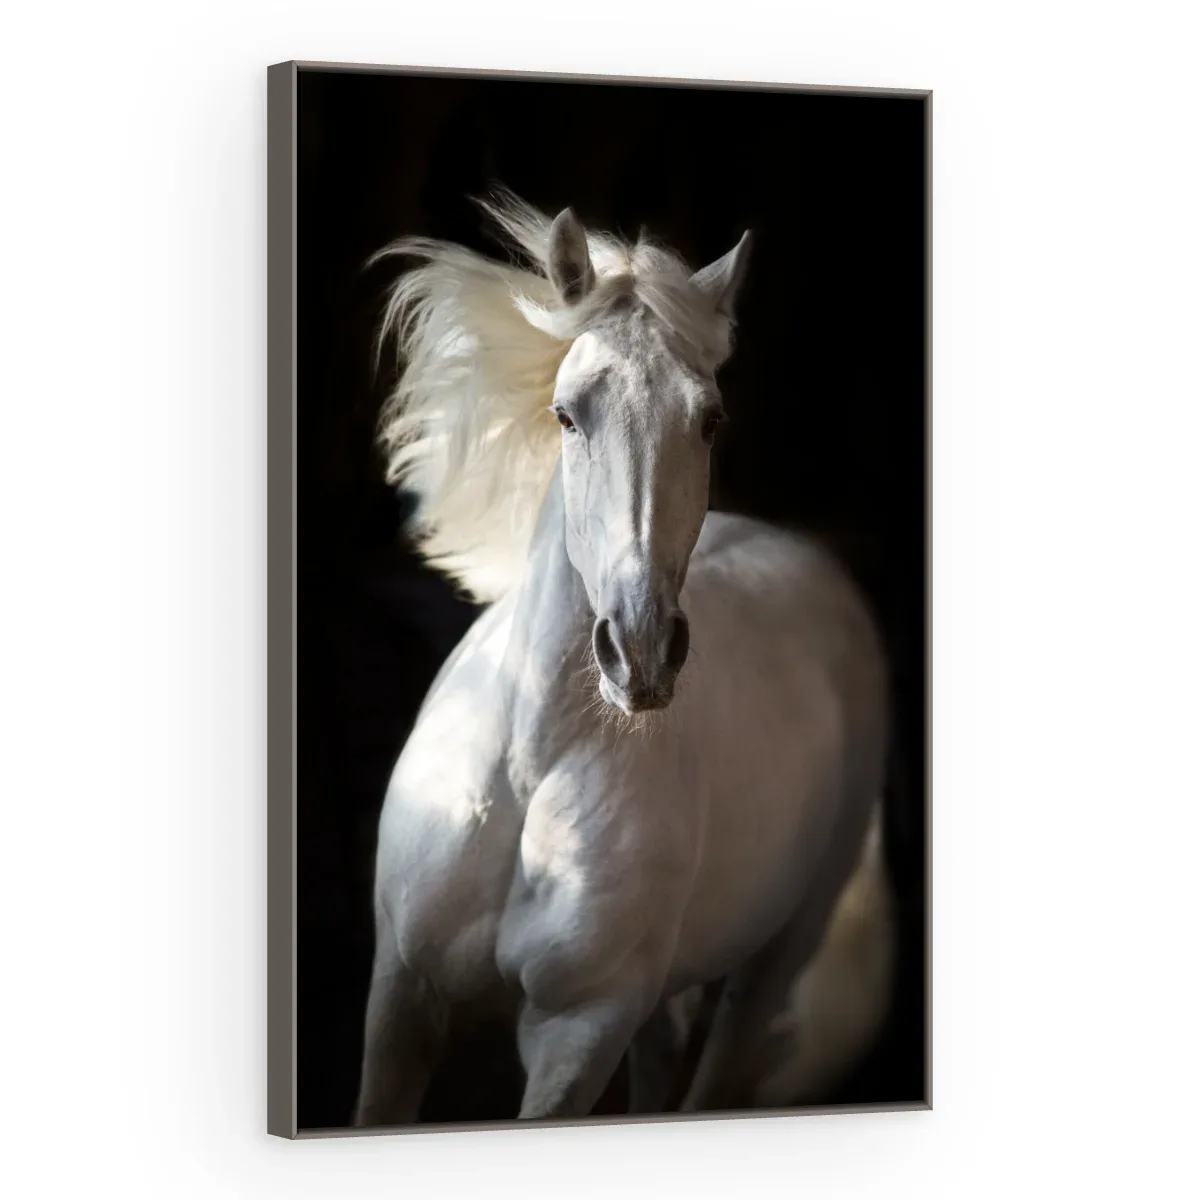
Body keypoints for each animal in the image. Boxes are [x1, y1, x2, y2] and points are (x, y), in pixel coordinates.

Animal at [353, 188, 896, 1125]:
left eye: (709, 419)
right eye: (568, 413)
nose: (640, 652)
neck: (528, 770)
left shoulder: (580, 1031)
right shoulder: (401, 999)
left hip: (776, 956)